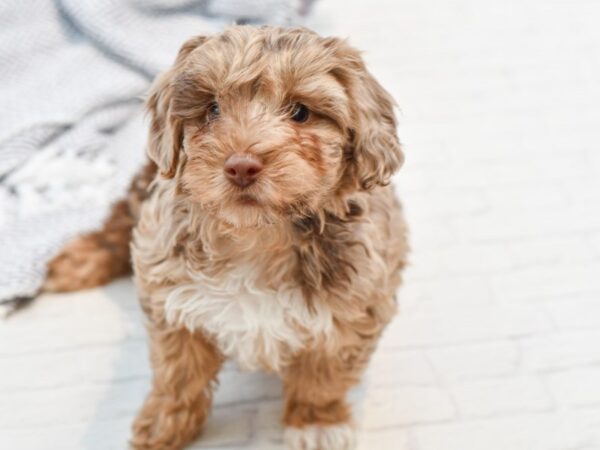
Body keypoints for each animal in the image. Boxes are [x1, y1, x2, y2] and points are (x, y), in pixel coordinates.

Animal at [45, 26, 408, 450]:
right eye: (213, 109)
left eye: (300, 112)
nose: (241, 166)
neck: (256, 236)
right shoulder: (165, 287)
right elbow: (177, 370)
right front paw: (165, 423)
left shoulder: (355, 305)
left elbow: (322, 373)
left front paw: (316, 423)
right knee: (120, 219)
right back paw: (79, 260)